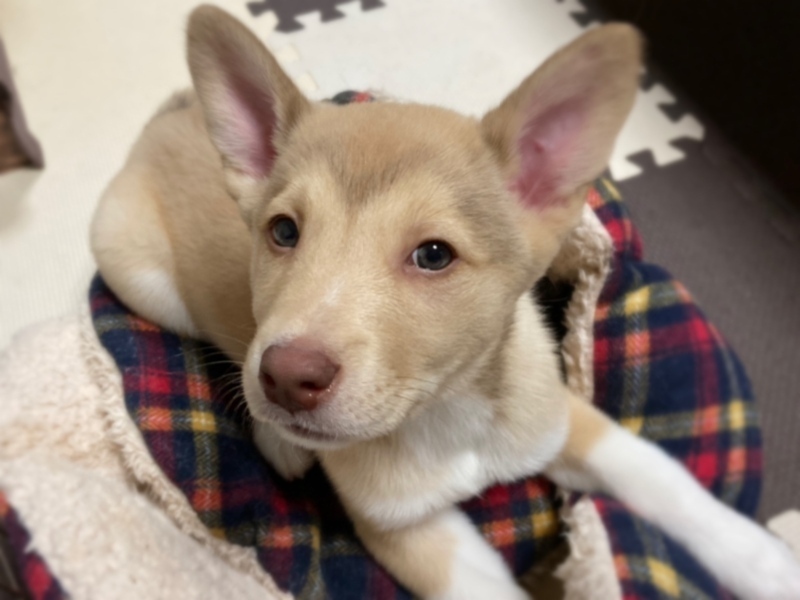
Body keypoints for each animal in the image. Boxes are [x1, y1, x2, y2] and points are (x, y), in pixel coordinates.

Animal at [90, 6, 800, 598]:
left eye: (433, 255)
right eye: (284, 232)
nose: (289, 379)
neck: (444, 412)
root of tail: (169, 117)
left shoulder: (559, 415)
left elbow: (656, 472)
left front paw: (766, 561)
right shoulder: (404, 529)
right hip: (144, 279)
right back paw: (279, 439)